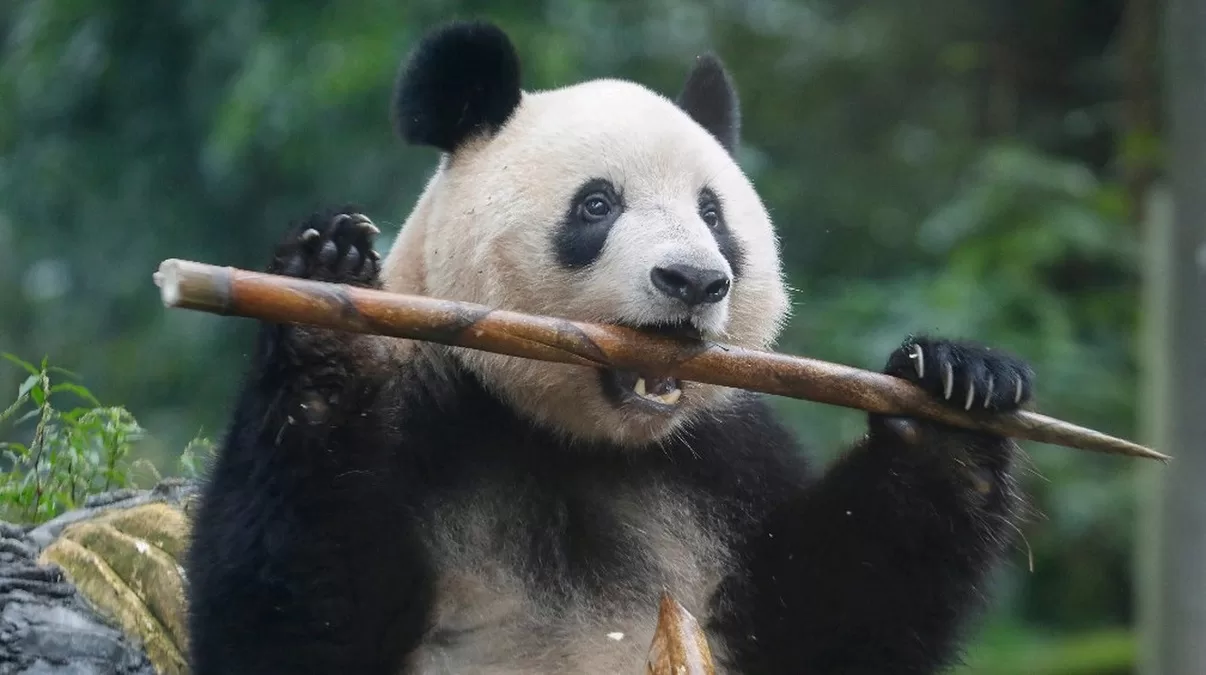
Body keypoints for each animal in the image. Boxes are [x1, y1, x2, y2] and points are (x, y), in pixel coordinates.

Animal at [185, 19, 1034, 675]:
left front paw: (956, 395)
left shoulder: (724, 462)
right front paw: (328, 288)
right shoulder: (428, 412)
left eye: (713, 214)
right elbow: (288, 619)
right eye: (597, 205)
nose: (694, 280)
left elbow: (837, 623)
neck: (577, 438)